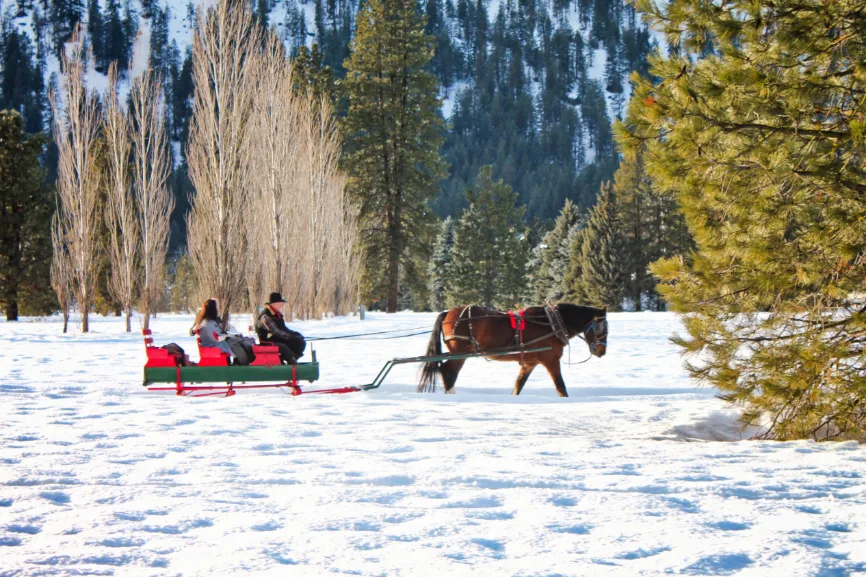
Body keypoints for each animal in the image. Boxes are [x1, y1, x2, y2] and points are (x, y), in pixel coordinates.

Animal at [416, 302, 604, 396]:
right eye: (602, 327)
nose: (602, 351)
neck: (552, 323)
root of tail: (448, 313)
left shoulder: (529, 363)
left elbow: (518, 385)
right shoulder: (551, 360)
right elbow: (560, 386)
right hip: (460, 353)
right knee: (448, 372)